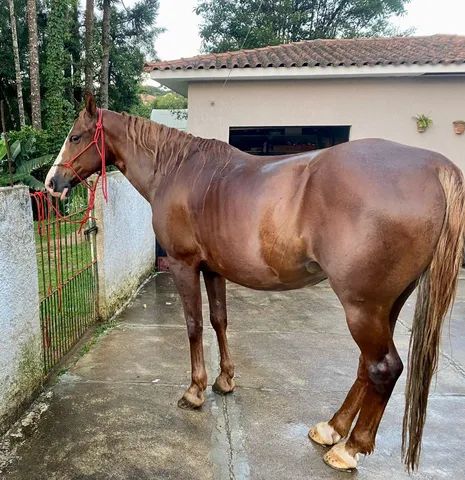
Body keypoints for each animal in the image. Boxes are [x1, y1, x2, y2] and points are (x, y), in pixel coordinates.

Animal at [44, 94, 464, 472]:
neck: (177, 170)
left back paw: (349, 449)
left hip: (361, 307)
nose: (51, 182)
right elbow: (219, 321)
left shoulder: (183, 265)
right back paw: (331, 429)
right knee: (367, 366)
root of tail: (432, 166)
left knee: (383, 368)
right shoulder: (212, 269)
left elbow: (195, 326)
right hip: (385, 306)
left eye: (77, 136)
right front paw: (225, 380)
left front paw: (195, 391)